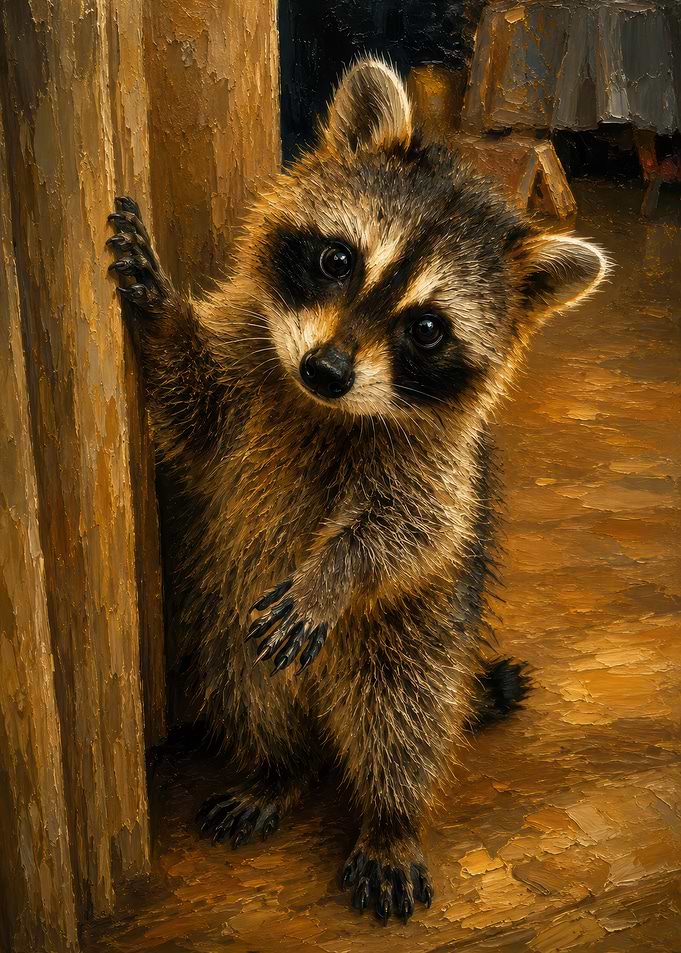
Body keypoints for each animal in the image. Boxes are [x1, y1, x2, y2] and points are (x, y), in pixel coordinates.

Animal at [107, 58, 608, 923]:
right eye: (336, 260)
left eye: (427, 328)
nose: (326, 370)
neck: (322, 407)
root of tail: (321, 709)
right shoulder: (242, 376)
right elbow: (190, 403)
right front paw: (161, 309)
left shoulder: (436, 462)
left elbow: (413, 529)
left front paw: (333, 571)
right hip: (227, 626)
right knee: (250, 688)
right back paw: (273, 767)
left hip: (416, 635)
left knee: (401, 719)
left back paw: (389, 816)